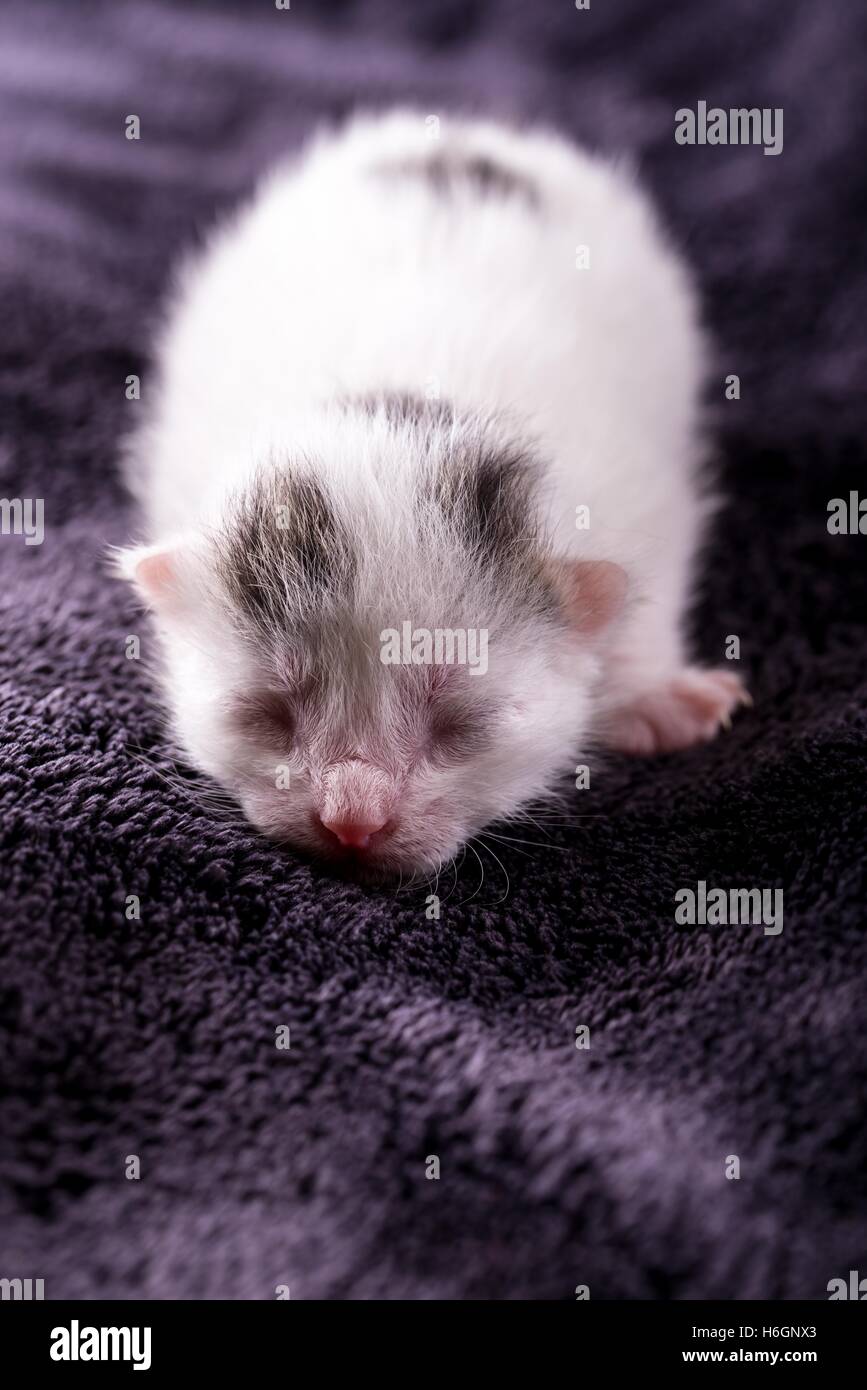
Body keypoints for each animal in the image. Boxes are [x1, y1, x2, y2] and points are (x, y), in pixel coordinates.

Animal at [118, 108, 750, 872]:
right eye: (268, 712)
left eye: (458, 723)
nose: (352, 820)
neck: (396, 408)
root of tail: (462, 133)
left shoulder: (641, 495)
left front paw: (654, 699)